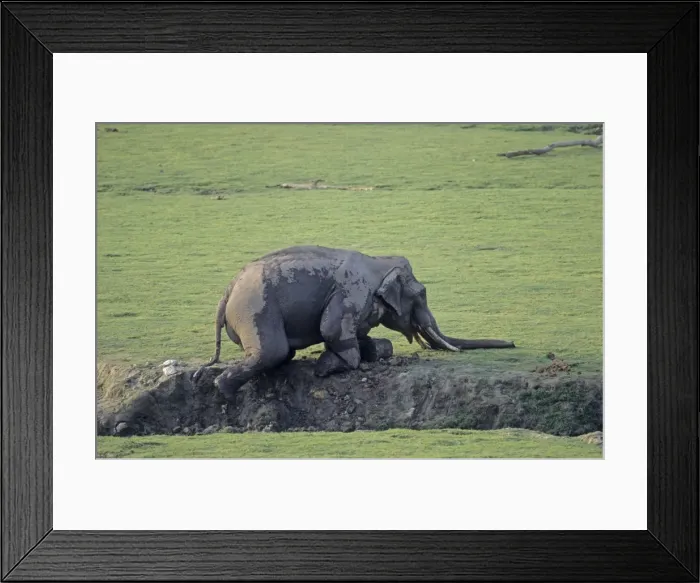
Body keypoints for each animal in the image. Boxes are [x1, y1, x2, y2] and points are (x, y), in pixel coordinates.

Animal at [192, 245, 515, 401]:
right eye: (422, 294)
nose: (512, 343)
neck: (379, 262)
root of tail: (226, 293)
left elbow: (359, 336)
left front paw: (375, 349)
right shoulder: (352, 291)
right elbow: (331, 330)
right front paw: (325, 368)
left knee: (281, 354)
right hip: (255, 309)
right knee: (272, 351)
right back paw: (224, 392)